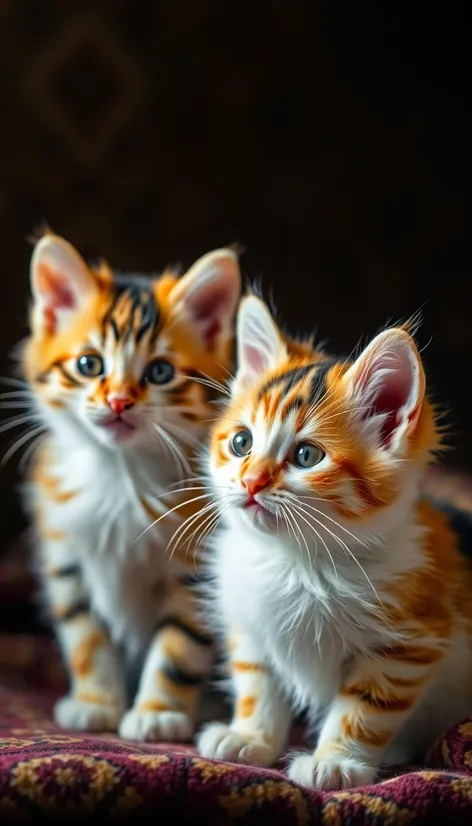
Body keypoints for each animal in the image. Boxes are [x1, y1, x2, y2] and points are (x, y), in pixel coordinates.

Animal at [18, 232, 240, 740]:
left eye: (158, 372)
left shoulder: (195, 570)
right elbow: (86, 637)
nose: (119, 401)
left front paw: (158, 712)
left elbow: (179, 644)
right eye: (88, 364)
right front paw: (95, 702)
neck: (119, 474)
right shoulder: (65, 557)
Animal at [197, 298, 472, 792]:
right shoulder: (249, 623)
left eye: (307, 456)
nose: (251, 482)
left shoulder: (409, 642)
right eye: (241, 442)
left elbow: (366, 705)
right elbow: (257, 682)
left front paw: (336, 762)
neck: (296, 559)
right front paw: (249, 738)